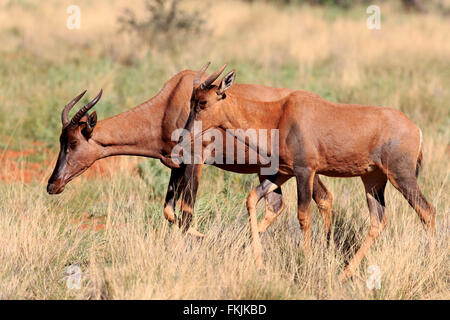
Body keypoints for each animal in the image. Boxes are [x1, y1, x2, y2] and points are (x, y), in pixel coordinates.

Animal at [46, 66, 334, 238]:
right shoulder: (176, 164)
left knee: (321, 198)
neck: (170, 101)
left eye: (73, 142)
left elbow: (186, 213)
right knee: (285, 204)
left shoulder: (196, 161)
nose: (52, 185)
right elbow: (169, 212)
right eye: (61, 139)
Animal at [182, 62, 436, 280]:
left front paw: (307, 261)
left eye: (203, 102)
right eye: (191, 100)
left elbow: (303, 215)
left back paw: (429, 266)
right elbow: (252, 198)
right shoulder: (283, 172)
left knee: (427, 211)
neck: (280, 114)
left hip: (401, 176)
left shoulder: (305, 171)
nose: (184, 137)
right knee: (378, 220)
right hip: (373, 179)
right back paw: (344, 274)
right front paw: (259, 263)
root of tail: (416, 129)